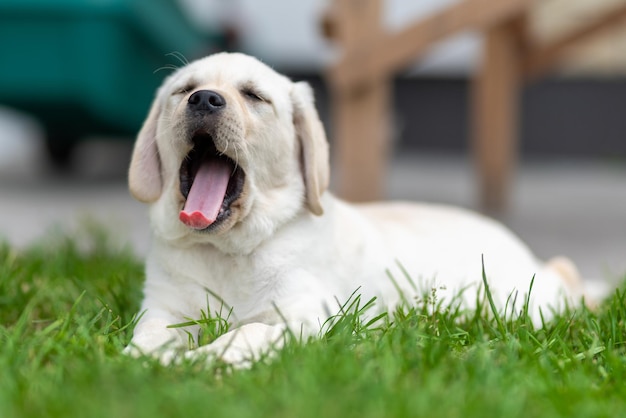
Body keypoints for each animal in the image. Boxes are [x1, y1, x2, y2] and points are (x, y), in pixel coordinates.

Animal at [124, 52, 584, 366]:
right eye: (184, 90)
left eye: (254, 96)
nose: (203, 99)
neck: (227, 252)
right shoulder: (162, 308)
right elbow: (151, 335)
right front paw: (144, 361)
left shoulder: (306, 315)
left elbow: (249, 331)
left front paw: (203, 360)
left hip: (513, 304)